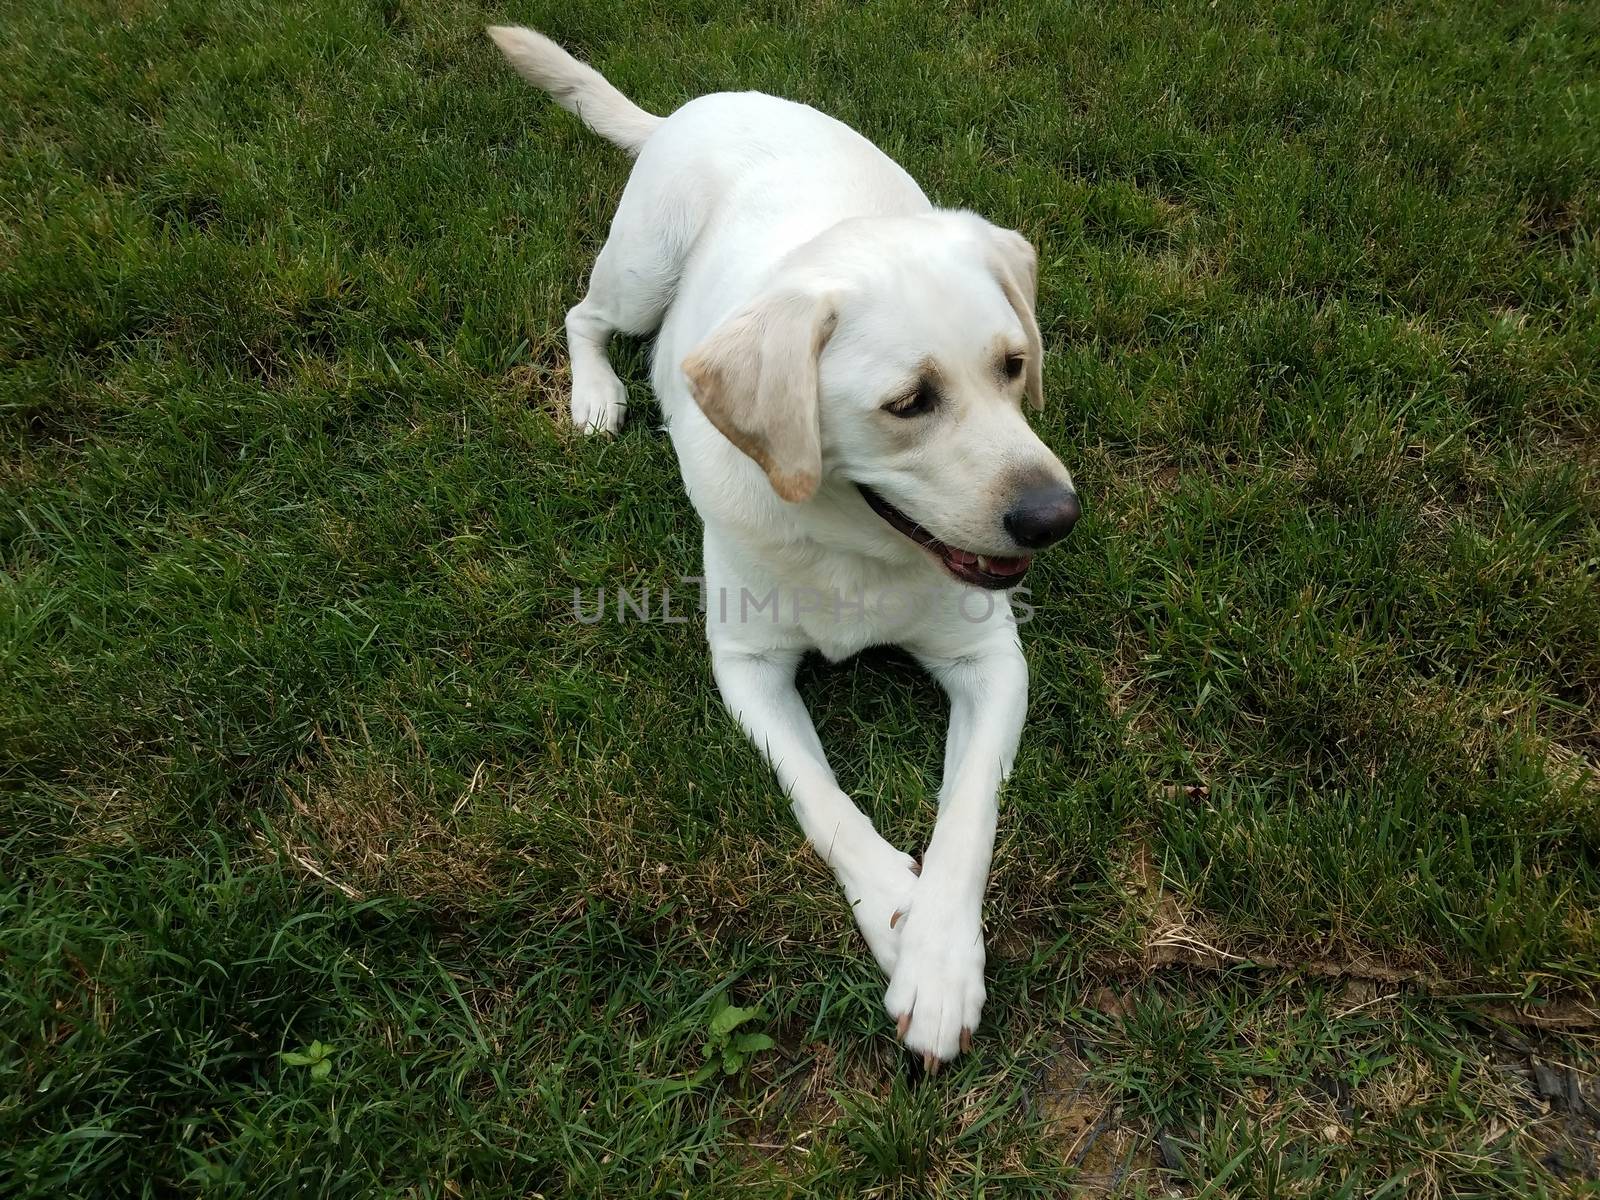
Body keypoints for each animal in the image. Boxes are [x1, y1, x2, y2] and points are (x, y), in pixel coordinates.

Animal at [492, 23, 1081, 1068]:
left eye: (1015, 366)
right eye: (909, 403)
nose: (1057, 514)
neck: (854, 545)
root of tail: (693, 107)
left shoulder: (991, 659)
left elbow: (968, 815)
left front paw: (938, 959)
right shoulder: (748, 667)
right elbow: (823, 802)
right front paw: (892, 907)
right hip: (639, 272)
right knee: (583, 317)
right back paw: (596, 395)